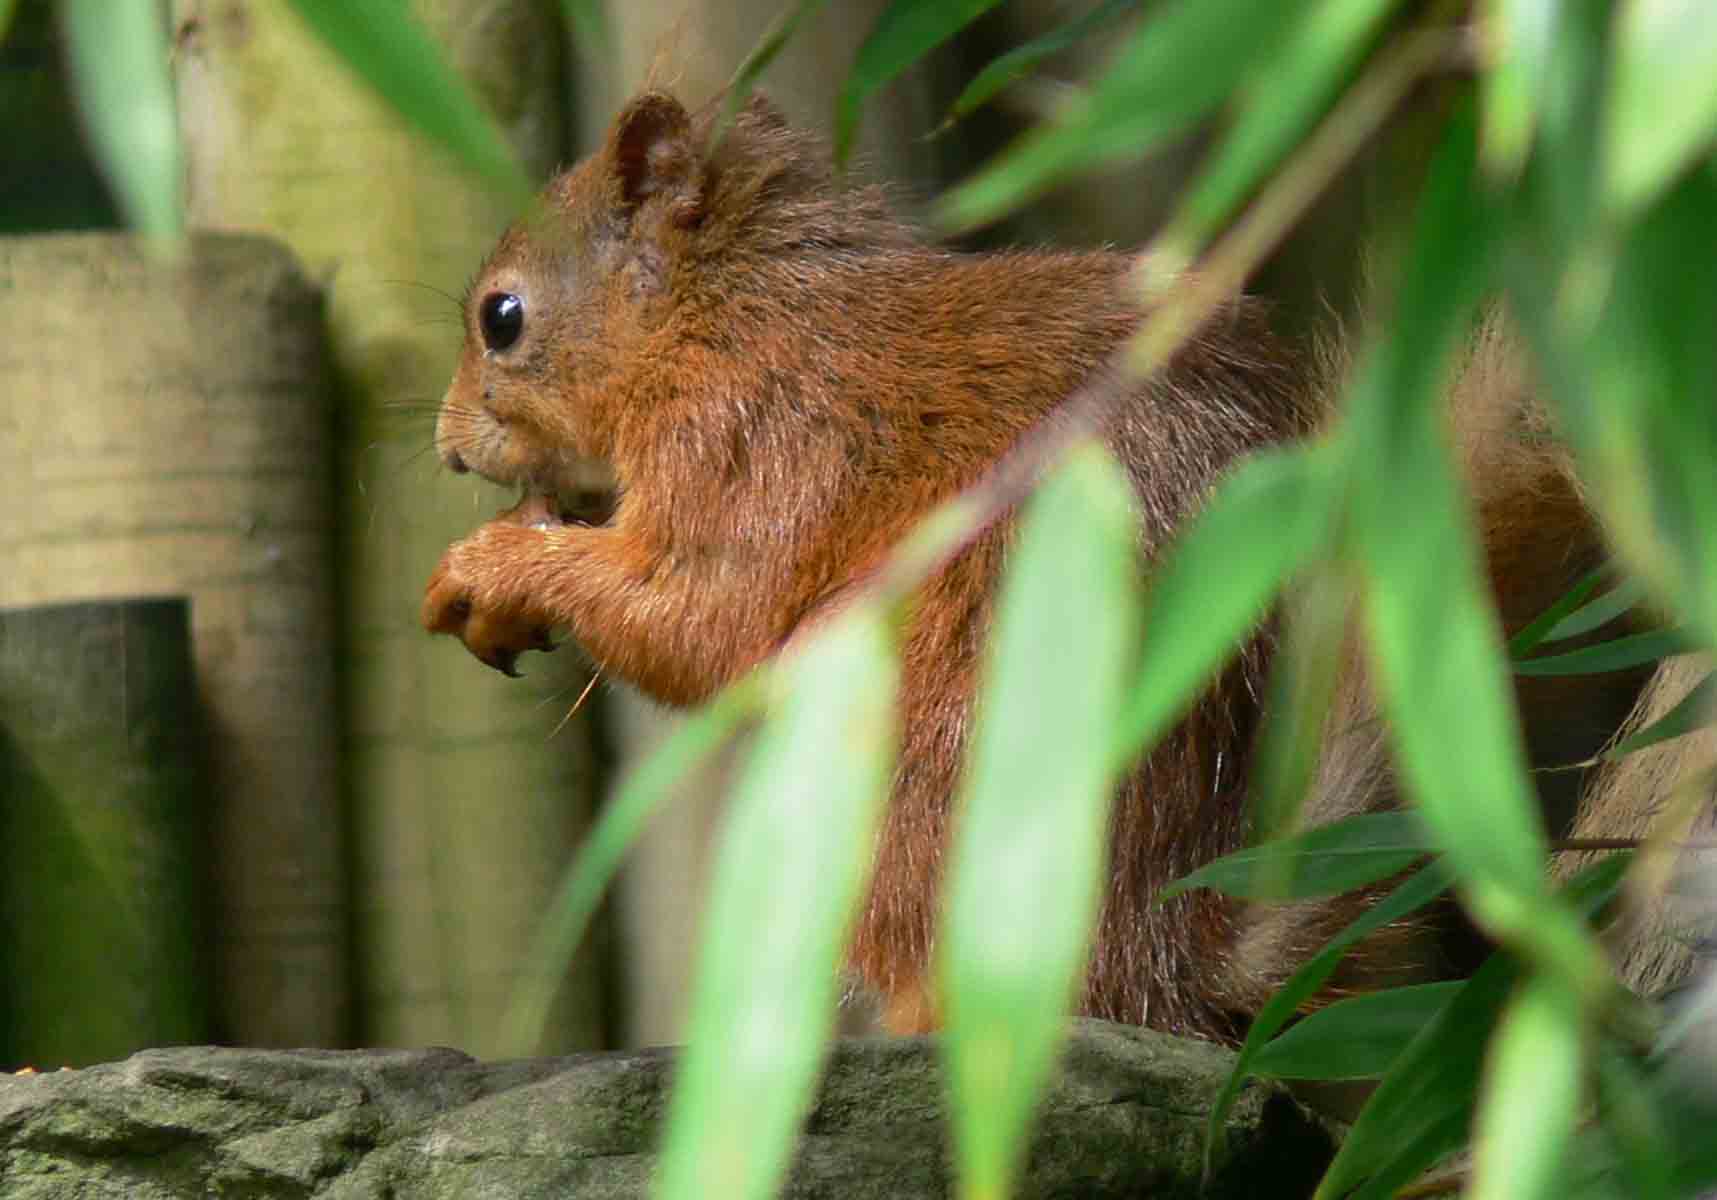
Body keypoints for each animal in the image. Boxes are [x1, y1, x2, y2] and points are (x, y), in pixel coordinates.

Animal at [425, 89, 1689, 1036]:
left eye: (502, 317)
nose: (444, 448)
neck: (730, 314)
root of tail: (1161, 946)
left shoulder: (757, 447)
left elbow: (699, 622)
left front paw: (495, 565)